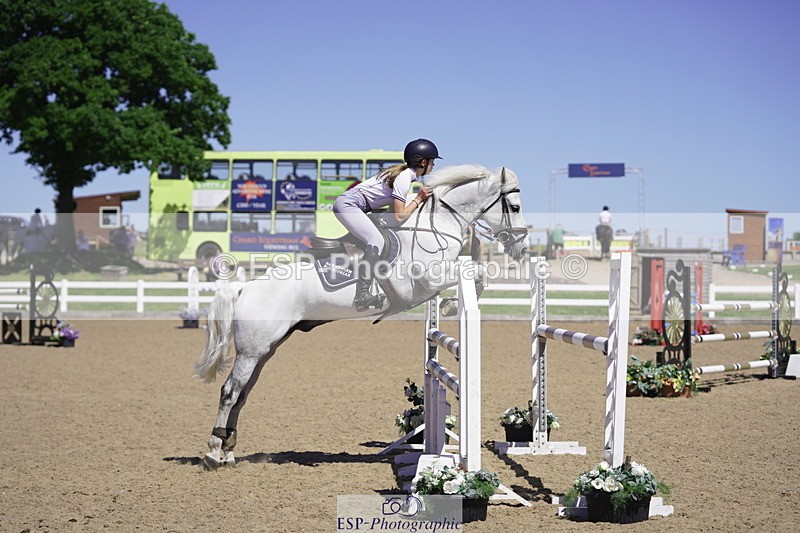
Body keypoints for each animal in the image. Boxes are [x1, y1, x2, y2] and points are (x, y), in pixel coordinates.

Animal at [194, 164, 529, 469]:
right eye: (514, 207)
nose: (522, 248)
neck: (433, 228)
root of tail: (245, 287)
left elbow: (478, 276)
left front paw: (448, 304)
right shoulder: (428, 280)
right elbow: (478, 273)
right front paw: (450, 304)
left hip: (265, 350)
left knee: (243, 393)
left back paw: (229, 450)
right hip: (251, 351)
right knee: (229, 391)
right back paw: (213, 451)